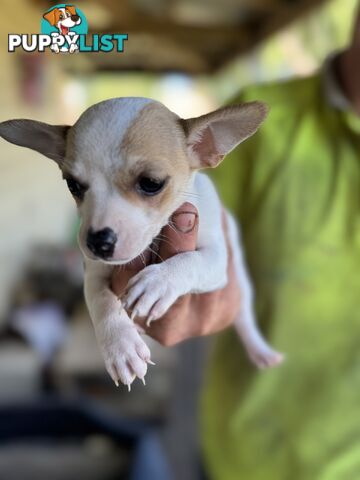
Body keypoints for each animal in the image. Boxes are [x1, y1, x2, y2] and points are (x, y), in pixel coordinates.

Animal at [0, 99, 282, 388]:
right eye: (73, 185)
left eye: (151, 183)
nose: (98, 241)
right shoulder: (93, 273)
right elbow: (102, 301)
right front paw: (121, 347)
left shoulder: (217, 260)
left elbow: (191, 260)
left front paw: (158, 283)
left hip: (241, 285)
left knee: (244, 317)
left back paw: (260, 350)